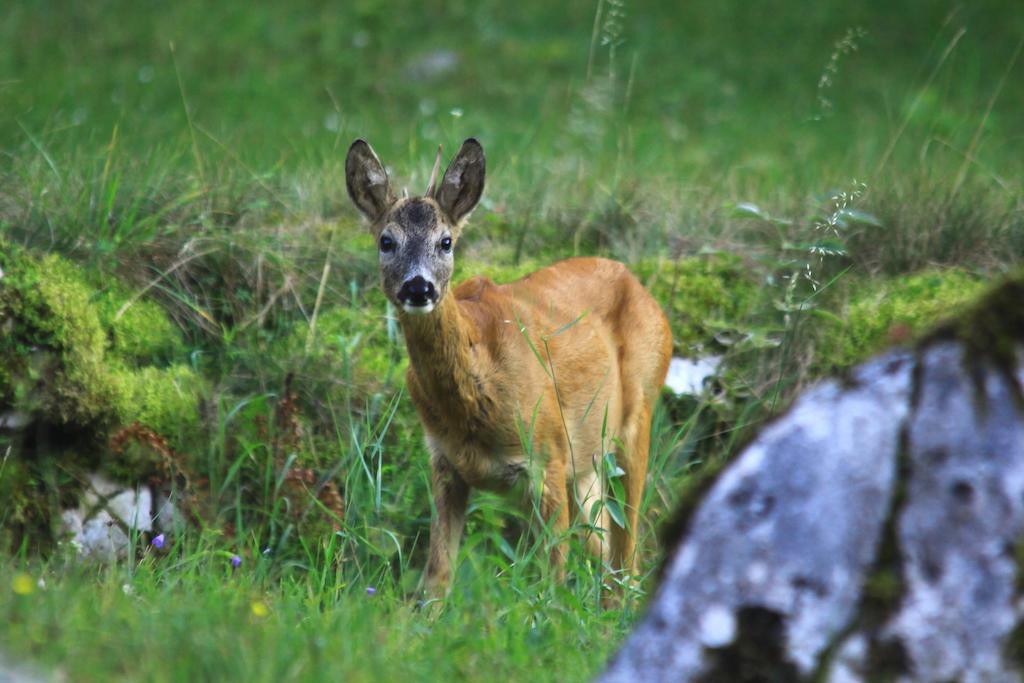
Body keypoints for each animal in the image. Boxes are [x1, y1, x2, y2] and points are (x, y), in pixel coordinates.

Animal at [348, 136, 675, 593]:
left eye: (446, 241)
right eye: (386, 241)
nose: (418, 287)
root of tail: (638, 283)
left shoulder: (549, 453)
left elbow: (552, 577)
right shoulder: (445, 464)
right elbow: (437, 575)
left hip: (638, 412)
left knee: (627, 551)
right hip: (587, 463)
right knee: (602, 546)